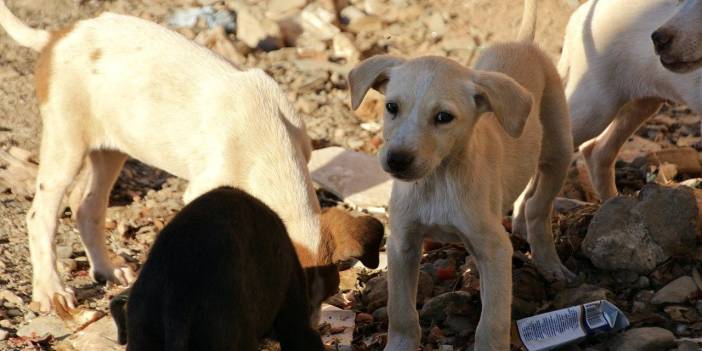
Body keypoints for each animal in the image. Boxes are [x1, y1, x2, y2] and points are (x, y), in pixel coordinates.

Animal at [0, 0, 384, 314]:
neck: (270, 148)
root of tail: (57, 37)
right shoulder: (203, 190)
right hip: (66, 143)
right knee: (40, 216)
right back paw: (50, 291)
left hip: (112, 148)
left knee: (86, 205)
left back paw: (107, 270)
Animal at [350, 0, 576, 350]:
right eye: (391, 107)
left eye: (444, 117)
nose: (397, 160)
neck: (437, 181)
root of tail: (522, 44)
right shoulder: (402, 244)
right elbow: (400, 312)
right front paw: (400, 344)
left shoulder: (496, 248)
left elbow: (493, 322)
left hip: (559, 149)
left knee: (539, 210)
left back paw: (550, 263)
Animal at [564, 0, 702, 201]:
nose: (658, 39)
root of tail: (580, 14)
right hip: (594, 106)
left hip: (639, 104)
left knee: (598, 150)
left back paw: (611, 203)